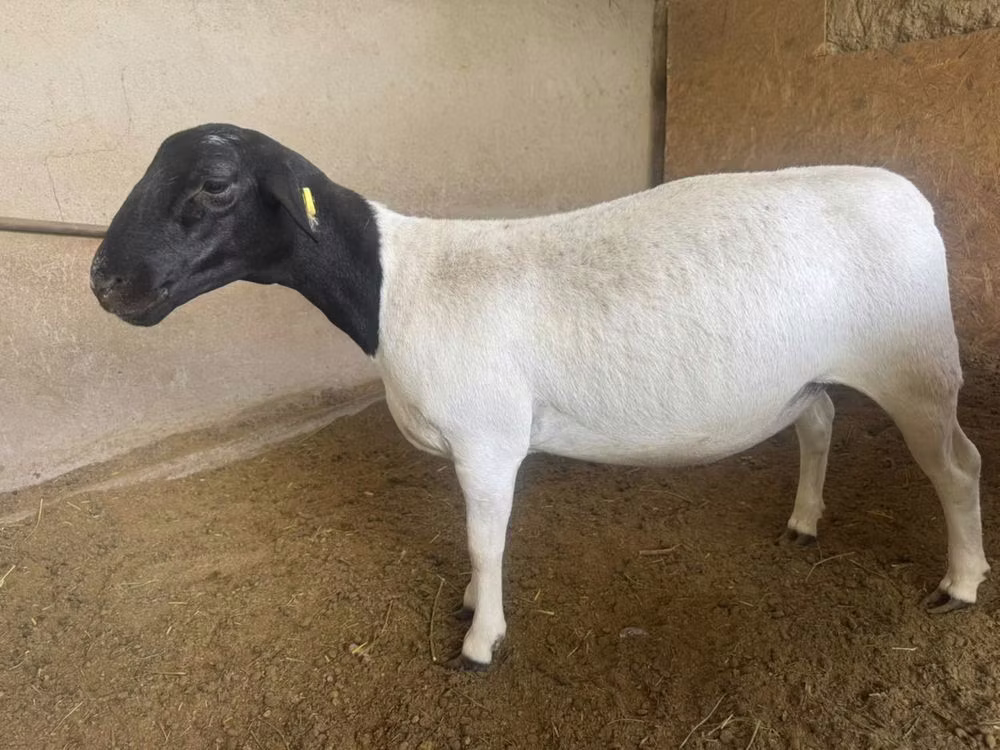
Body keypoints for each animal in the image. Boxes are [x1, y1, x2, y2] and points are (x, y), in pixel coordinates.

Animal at [90, 123, 988, 670]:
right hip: (808, 372)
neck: (392, 284)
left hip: (917, 368)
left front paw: (481, 639)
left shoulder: (487, 440)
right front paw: (469, 607)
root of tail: (912, 197)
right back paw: (803, 521)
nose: (104, 279)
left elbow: (486, 541)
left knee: (959, 468)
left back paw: (962, 582)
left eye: (215, 183)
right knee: (821, 422)